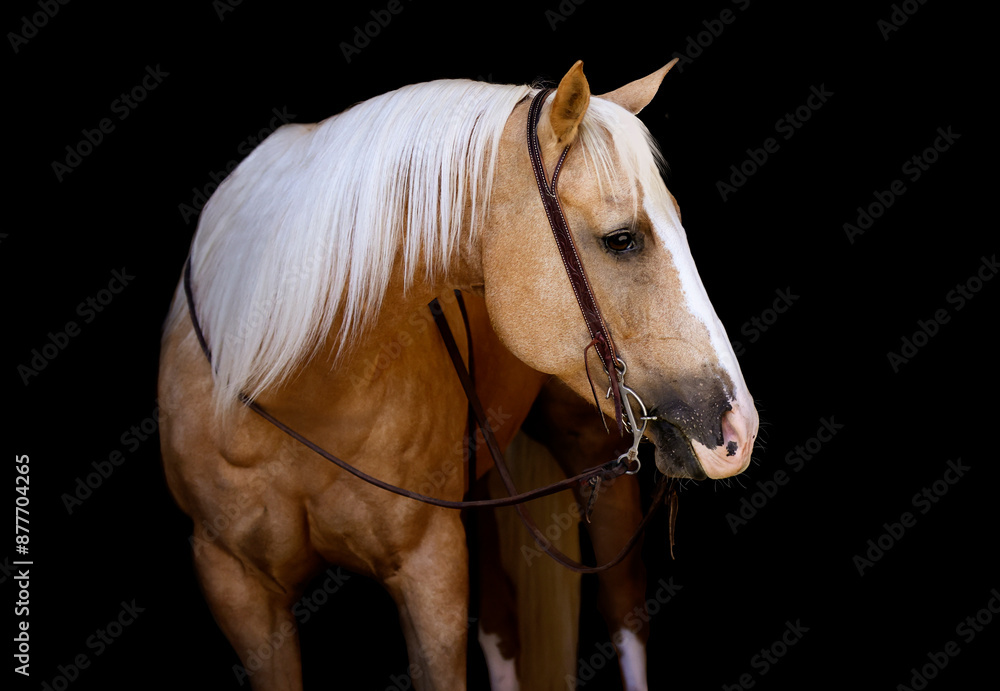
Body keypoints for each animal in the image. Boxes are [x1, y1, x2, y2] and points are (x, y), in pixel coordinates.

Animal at [158, 58, 758, 690]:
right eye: (621, 240)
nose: (739, 427)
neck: (293, 387)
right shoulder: (237, 588)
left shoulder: (431, 570)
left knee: (622, 610)